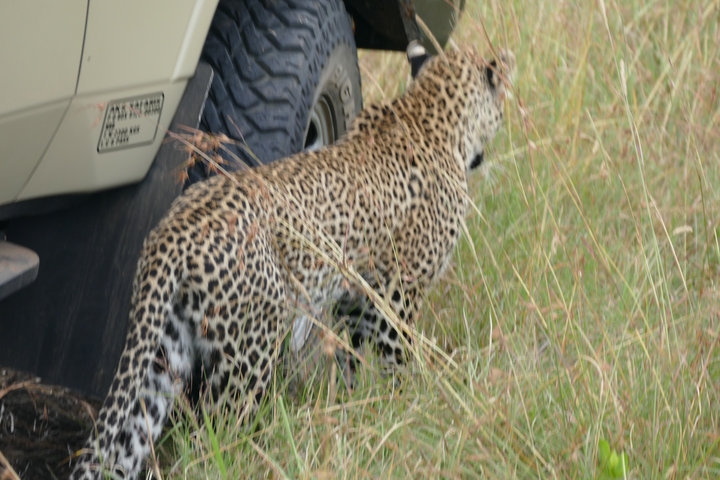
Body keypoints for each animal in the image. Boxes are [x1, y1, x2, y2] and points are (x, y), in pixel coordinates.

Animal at [70, 44, 515, 479]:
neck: (427, 112)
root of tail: (173, 228)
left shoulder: (355, 299)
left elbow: (350, 361)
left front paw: (354, 412)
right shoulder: (398, 294)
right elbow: (398, 362)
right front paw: (407, 409)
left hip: (163, 351)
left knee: (125, 445)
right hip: (249, 352)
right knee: (210, 437)